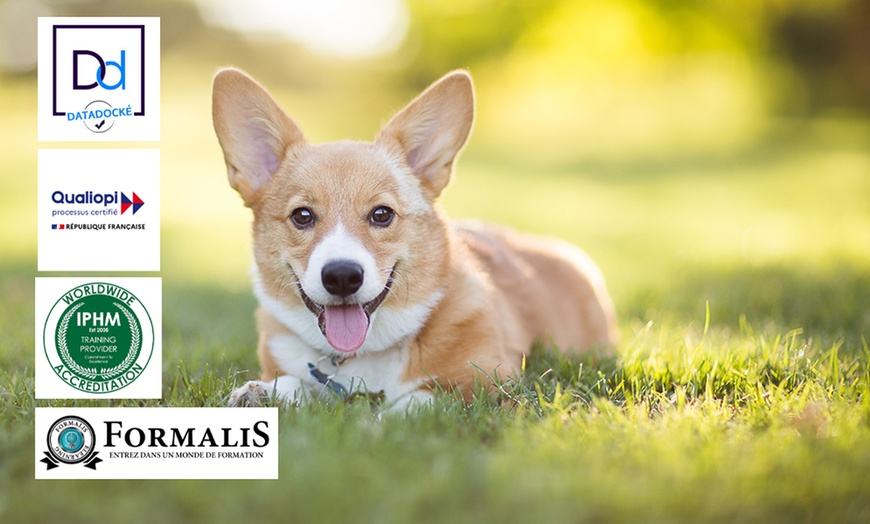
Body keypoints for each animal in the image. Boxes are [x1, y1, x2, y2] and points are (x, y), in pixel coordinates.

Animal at [213, 69, 620, 412]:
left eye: (382, 214)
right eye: (302, 216)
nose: (342, 277)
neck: (362, 355)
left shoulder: (493, 382)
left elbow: (419, 398)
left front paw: (382, 417)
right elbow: (295, 381)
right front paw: (261, 392)